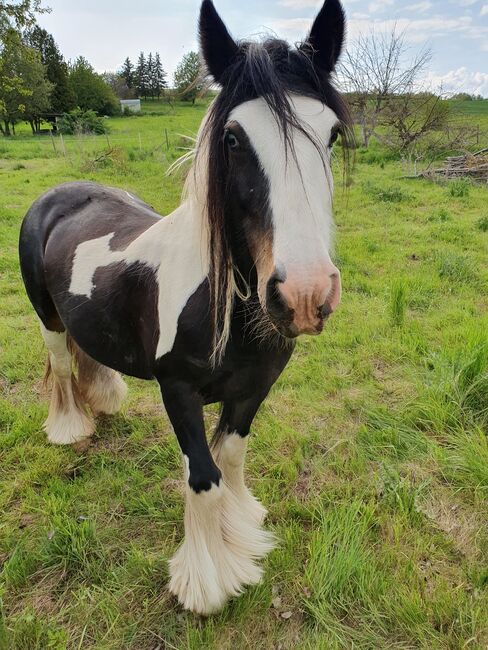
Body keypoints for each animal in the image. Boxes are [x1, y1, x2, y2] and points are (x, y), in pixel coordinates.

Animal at [19, 0, 352, 612]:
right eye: (233, 138)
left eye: (332, 134)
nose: (305, 295)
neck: (227, 310)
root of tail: (59, 194)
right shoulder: (177, 390)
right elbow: (203, 476)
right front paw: (206, 582)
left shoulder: (255, 387)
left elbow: (232, 458)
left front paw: (243, 530)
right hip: (47, 318)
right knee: (60, 363)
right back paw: (71, 427)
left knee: (86, 353)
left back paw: (103, 401)